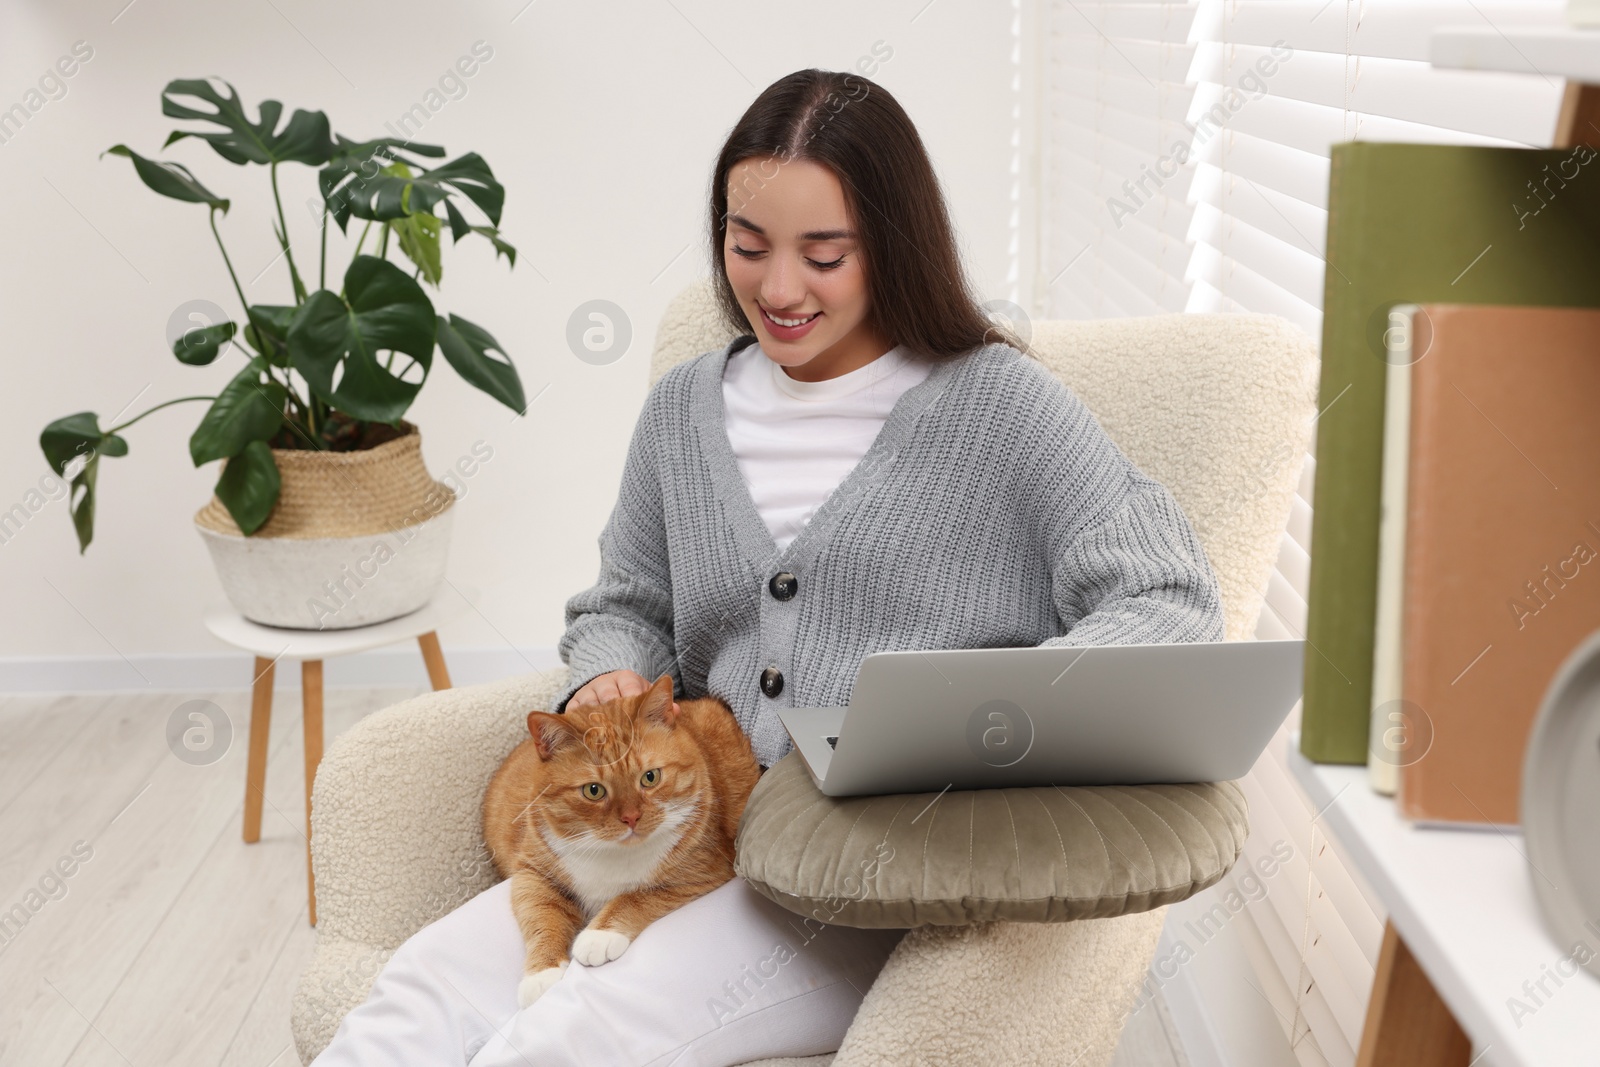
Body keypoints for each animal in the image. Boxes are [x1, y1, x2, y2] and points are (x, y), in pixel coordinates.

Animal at [480, 675, 761, 1011]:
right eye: (593, 790)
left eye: (650, 777)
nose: (631, 818)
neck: (609, 852)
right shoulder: (532, 872)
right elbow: (541, 917)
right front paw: (541, 973)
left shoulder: (704, 869)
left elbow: (637, 896)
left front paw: (598, 936)